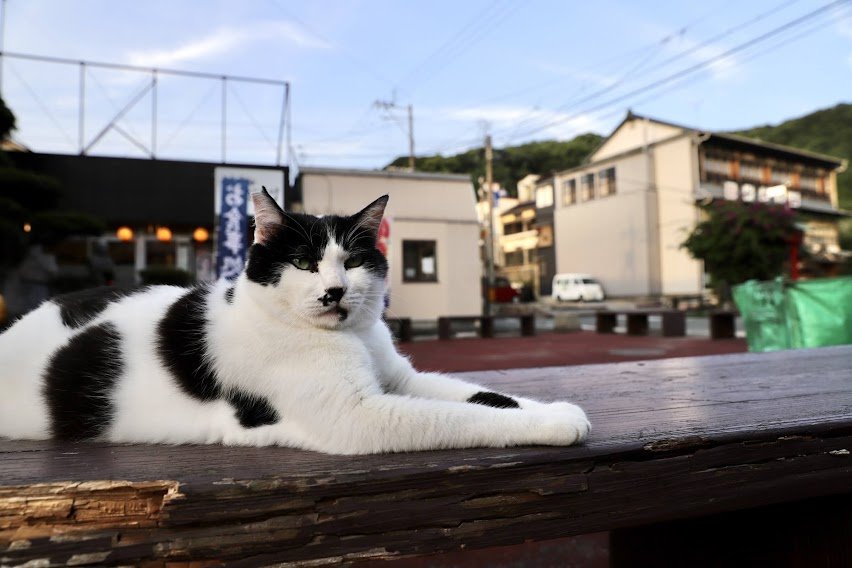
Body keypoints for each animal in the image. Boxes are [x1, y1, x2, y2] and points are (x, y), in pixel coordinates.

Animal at [0, 193, 588, 454]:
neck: (352, 338)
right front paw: (552, 424)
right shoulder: (358, 416)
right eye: (304, 263)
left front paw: (553, 409)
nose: (335, 291)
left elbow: (486, 395)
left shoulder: (400, 379)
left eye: (353, 261)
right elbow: (465, 417)